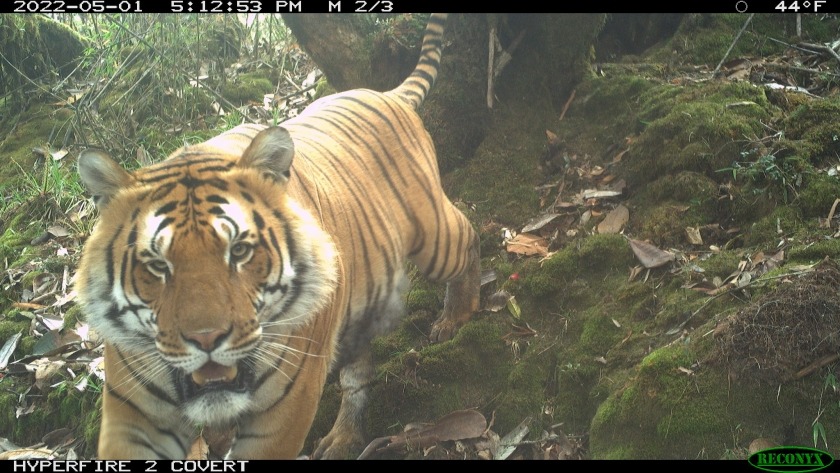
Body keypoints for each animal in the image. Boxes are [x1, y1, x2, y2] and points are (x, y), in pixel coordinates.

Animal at [74, 12, 480, 460]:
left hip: (433, 236)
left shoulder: (284, 406)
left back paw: (456, 316)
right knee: (358, 373)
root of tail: (383, 94)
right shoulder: (133, 412)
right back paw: (343, 438)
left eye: (239, 251)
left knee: (469, 234)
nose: (206, 339)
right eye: (157, 265)